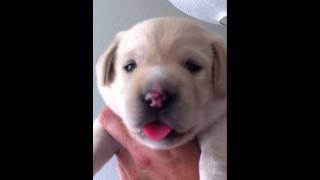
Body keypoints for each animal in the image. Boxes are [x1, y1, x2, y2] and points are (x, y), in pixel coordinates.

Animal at [93, 16, 228, 180]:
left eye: (193, 67)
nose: (156, 98)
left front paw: (214, 172)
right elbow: (98, 136)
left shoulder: (220, 118)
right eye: (130, 66)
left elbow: (215, 146)